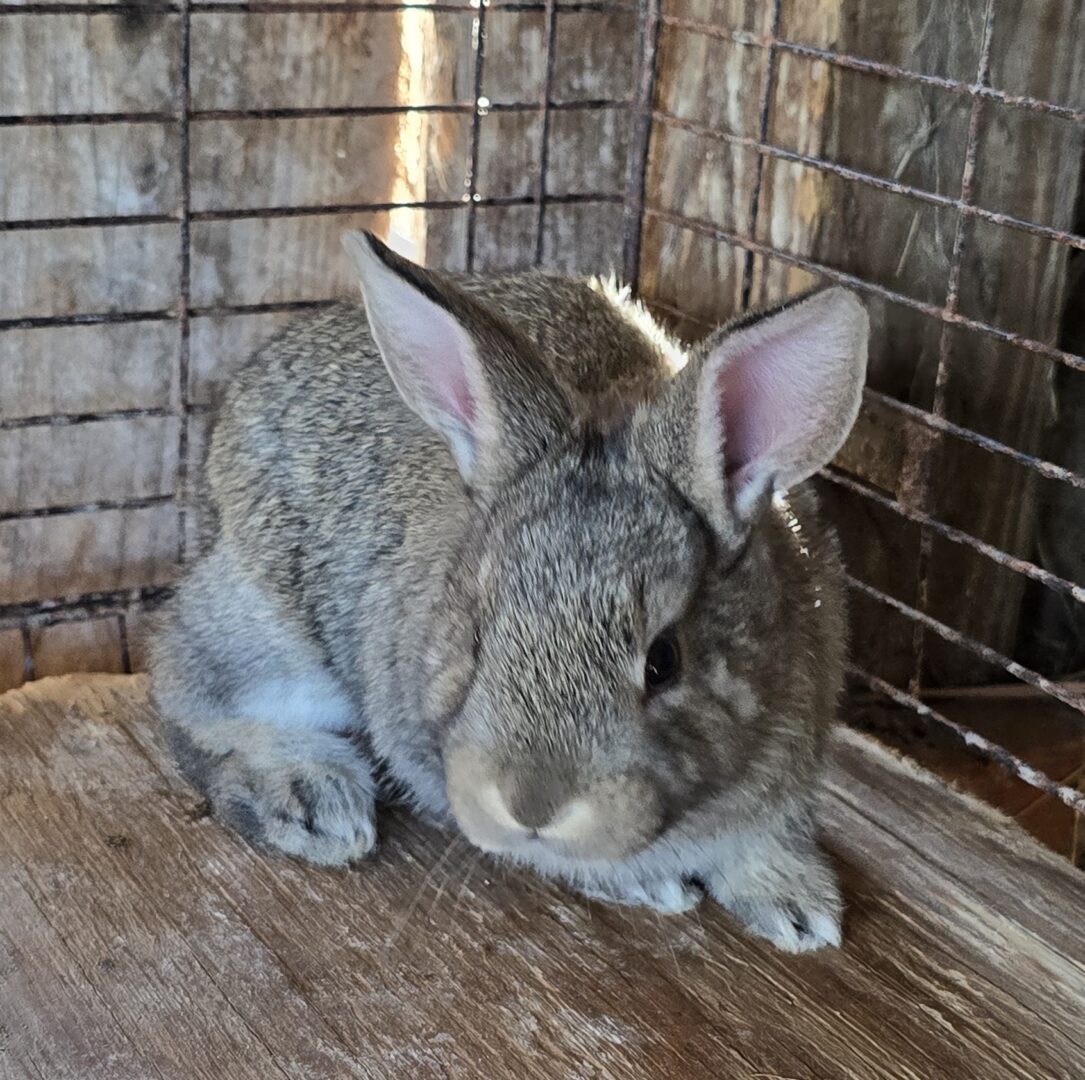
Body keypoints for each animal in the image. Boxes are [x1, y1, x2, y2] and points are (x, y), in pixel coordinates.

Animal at [150, 230, 868, 953]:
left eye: (664, 661)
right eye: (476, 637)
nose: (531, 804)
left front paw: (799, 909)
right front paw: (650, 887)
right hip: (268, 626)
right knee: (187, 694)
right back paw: (315, 800)